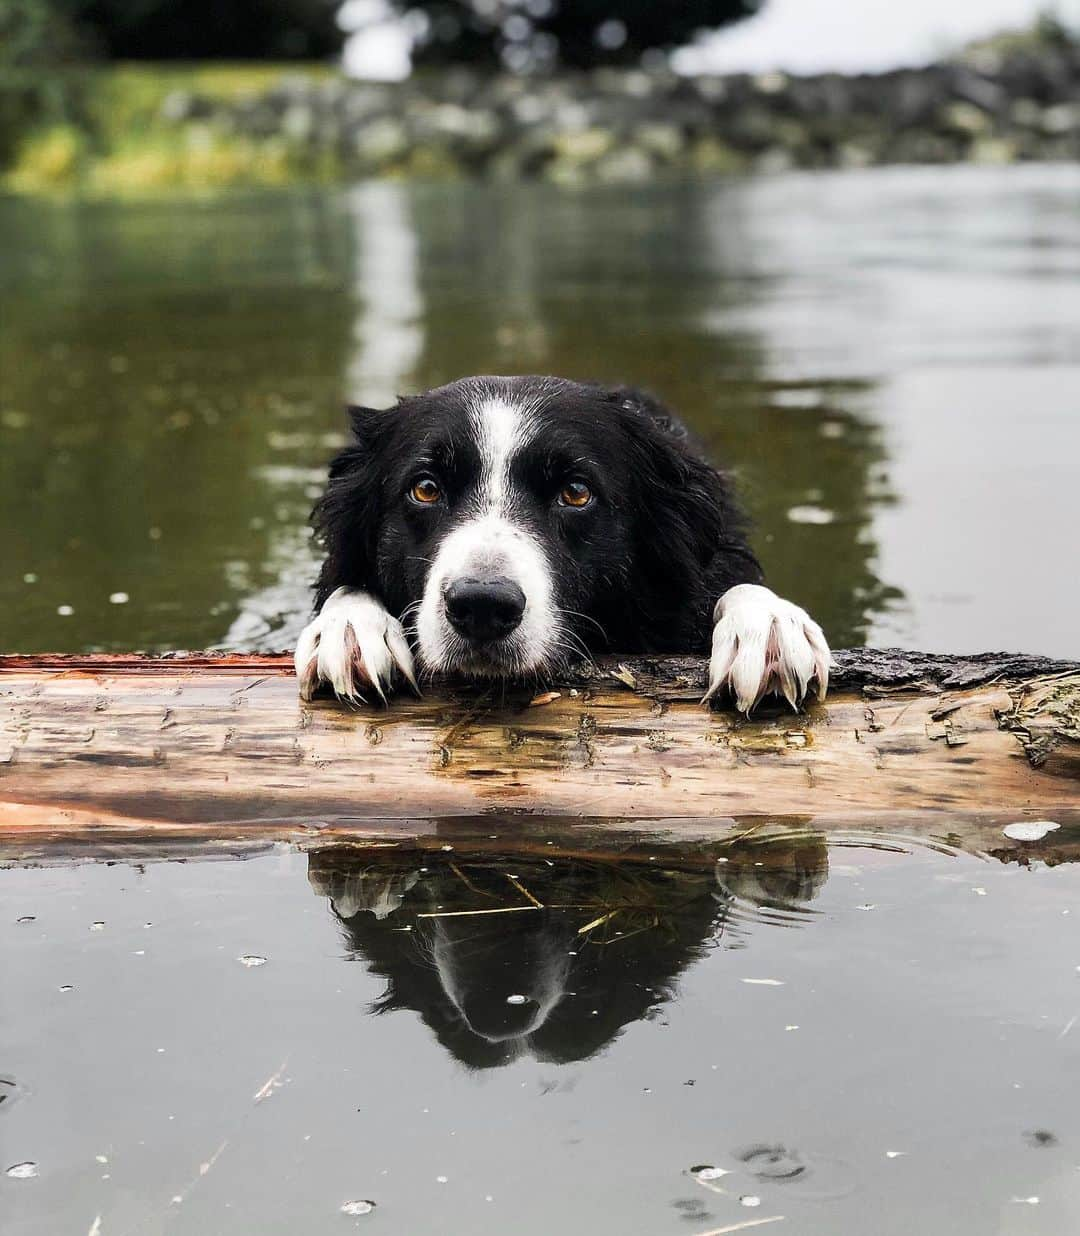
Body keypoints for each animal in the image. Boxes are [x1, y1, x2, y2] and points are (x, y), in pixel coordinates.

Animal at [290, 370, 830, 711]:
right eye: (425, 488)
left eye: (575, 493)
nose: (482, 605)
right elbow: (343, 584)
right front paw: (350, 628)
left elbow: (734, 583)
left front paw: (768, 626)